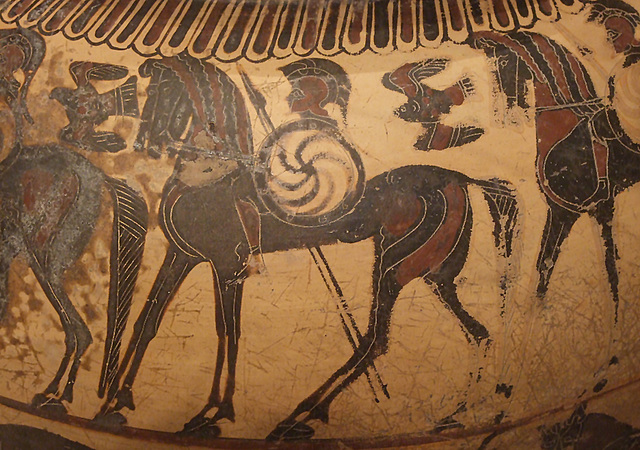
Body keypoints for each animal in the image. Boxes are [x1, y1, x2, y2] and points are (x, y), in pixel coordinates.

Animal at [97, 53, 520, 440]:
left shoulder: (228, 266)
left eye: (167, 95)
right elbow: (149, 320)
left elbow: (227, 331)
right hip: (435, 274)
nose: (148, 144)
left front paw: (213, 414)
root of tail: (459, 177)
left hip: (394, 265)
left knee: (374, 340)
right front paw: (116, 404)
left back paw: (300, 416)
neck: (212, 173)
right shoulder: (182, 255)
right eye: (149, 94)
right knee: (478, 331)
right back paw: (456, 415)